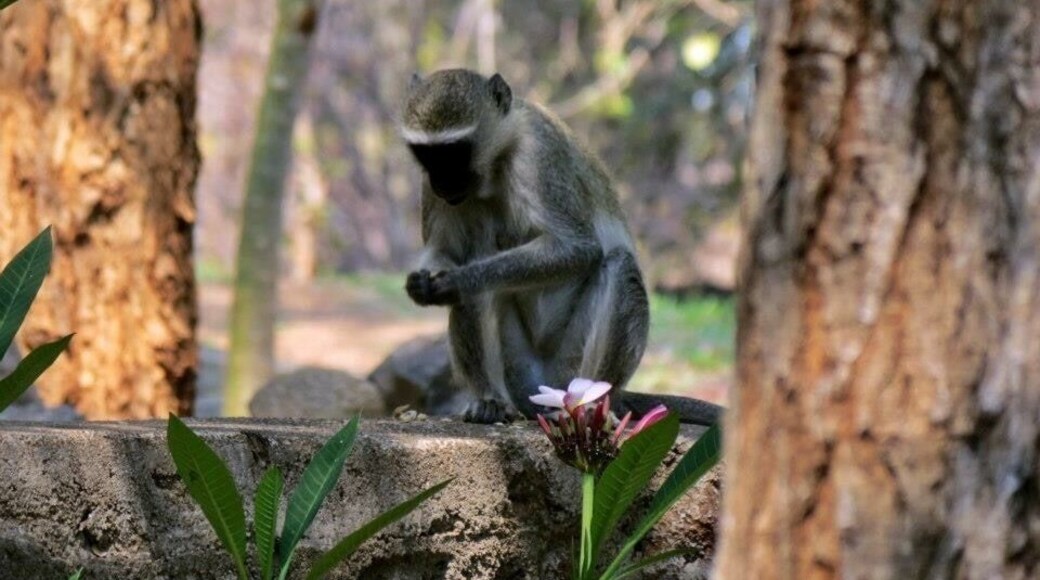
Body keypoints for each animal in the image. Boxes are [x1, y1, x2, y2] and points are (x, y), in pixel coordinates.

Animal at [399, 69, 723, 426]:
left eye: (454, 152)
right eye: (427, 155)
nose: (442, 183)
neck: (497, 161)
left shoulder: (539, 154)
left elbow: (577, 247)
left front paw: (457, 279)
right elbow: (446, 253)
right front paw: (423, 283)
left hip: (569, 365)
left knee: (620, 265)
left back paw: (593, 405)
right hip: (520, 369)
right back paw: (488, 400)